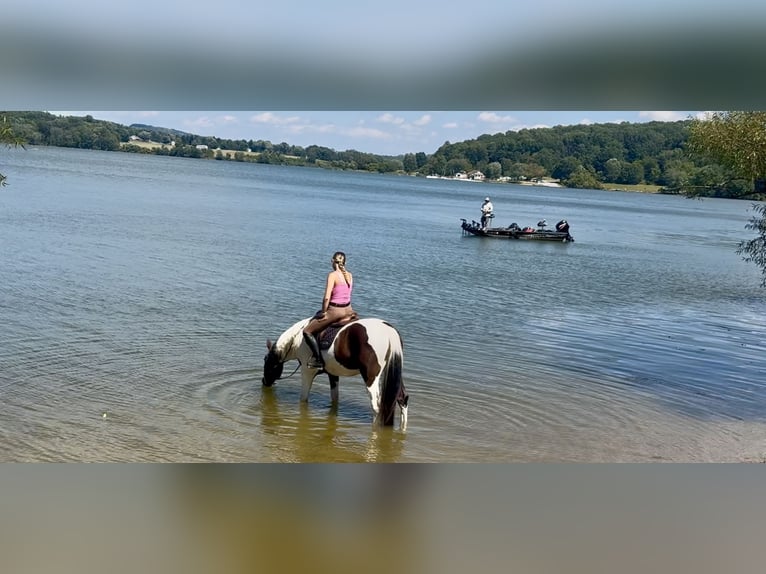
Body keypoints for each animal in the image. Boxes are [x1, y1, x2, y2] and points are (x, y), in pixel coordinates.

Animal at [262, 317, 409, 430]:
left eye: (266, 361)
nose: (264, 382)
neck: (296, 340)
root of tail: (389, 331)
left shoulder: (307, 371)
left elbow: (303, 398)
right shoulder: (332, 373)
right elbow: (334, 398)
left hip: (370, 378)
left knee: (377, 407)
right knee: (402, 399)